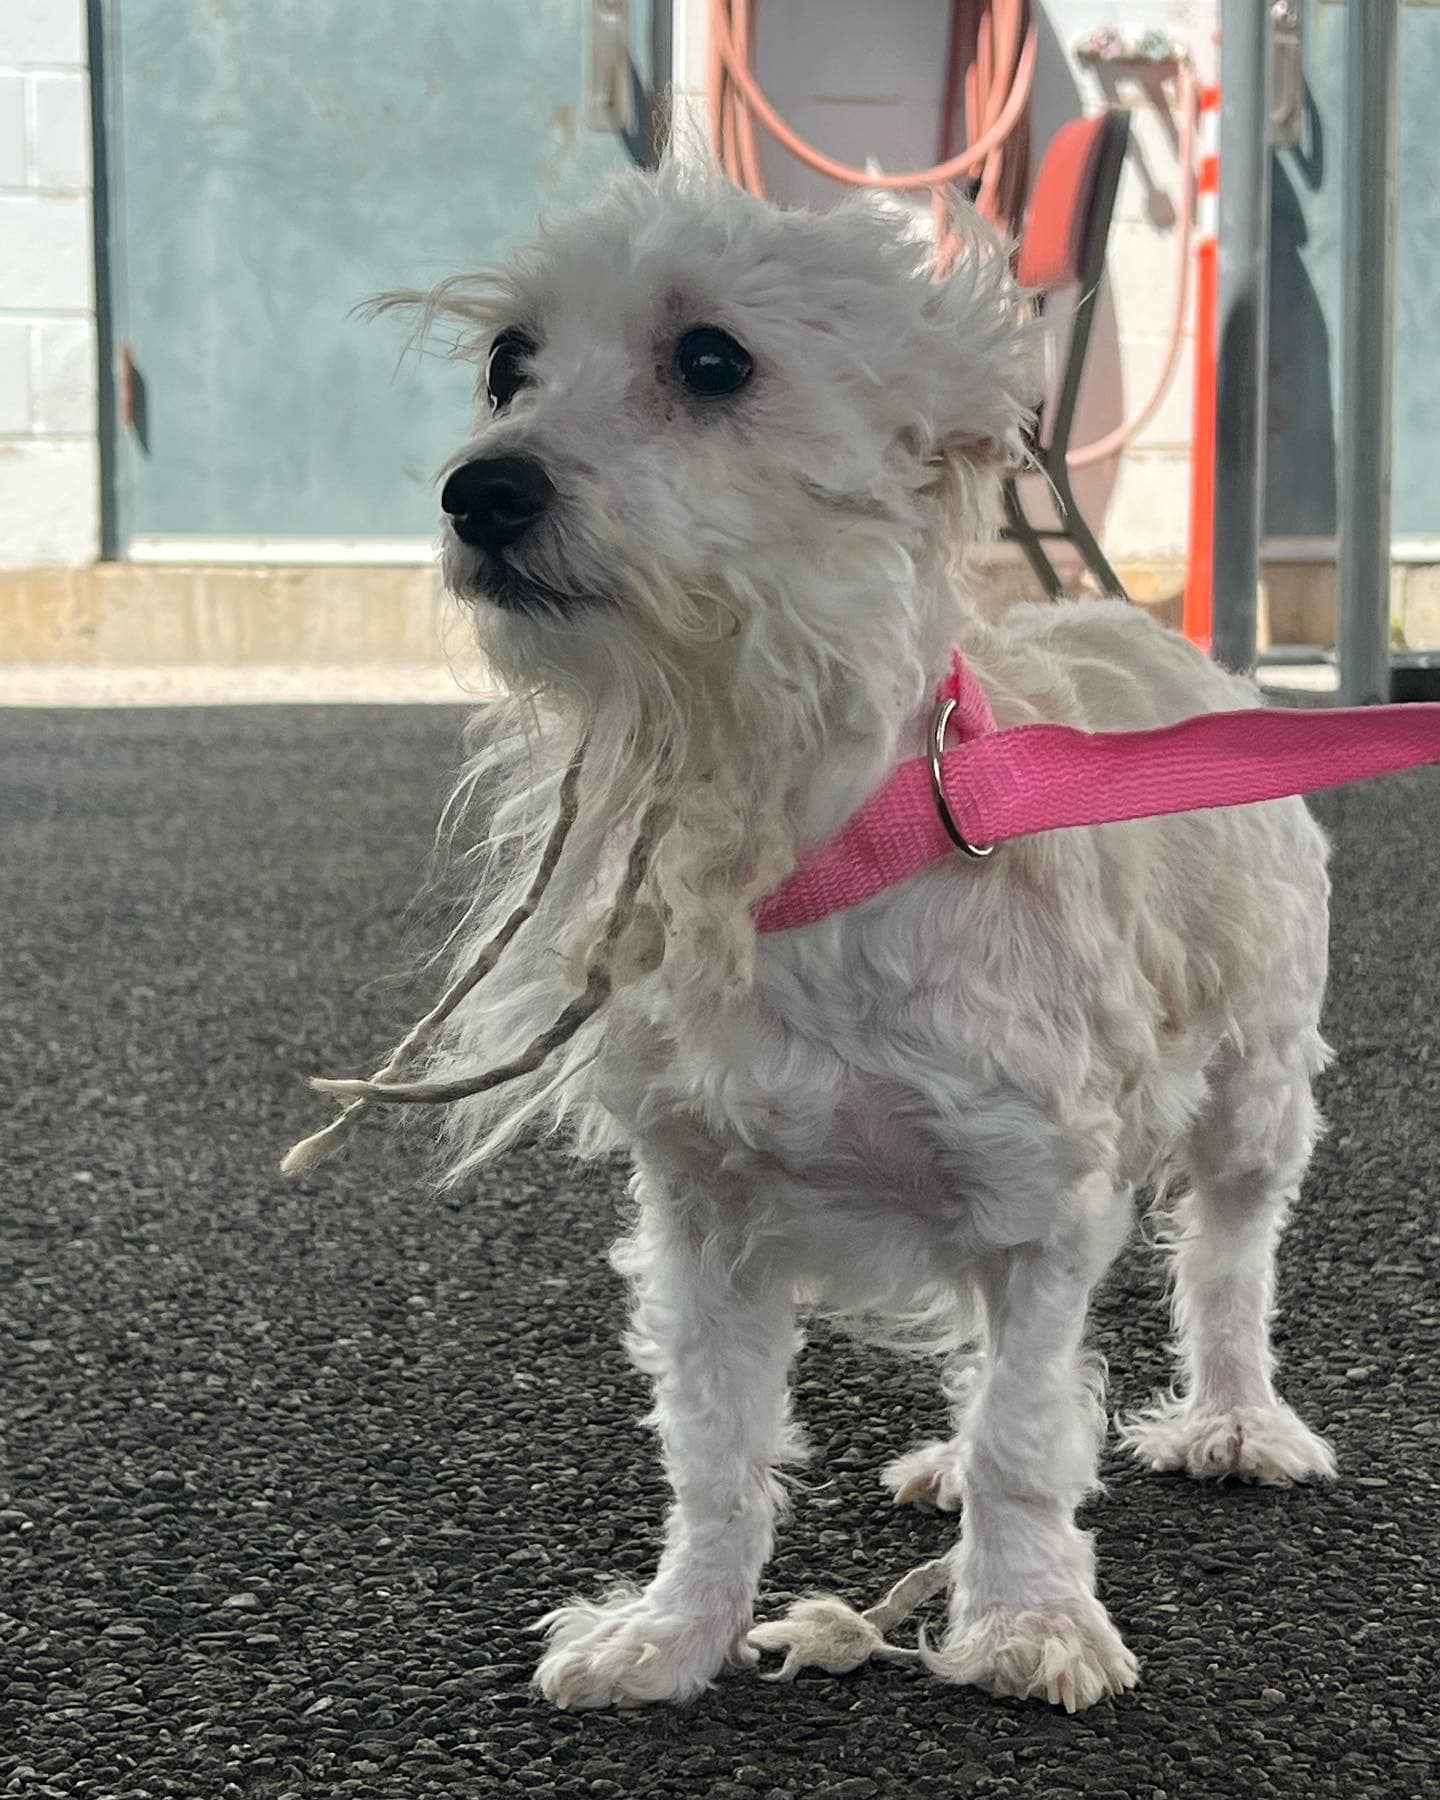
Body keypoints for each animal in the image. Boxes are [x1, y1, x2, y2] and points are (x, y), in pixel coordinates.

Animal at [379, 165, 1324, 1713]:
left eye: (713, 360)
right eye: (508, 364)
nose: (480, 489)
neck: (811, 850)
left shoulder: (1038, 1201)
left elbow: (1026, 1434)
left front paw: (1029, 1618)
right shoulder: (706, 1222)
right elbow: (716, 1453)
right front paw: (677, 1631)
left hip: (1256, 1084)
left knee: (1229, 1259)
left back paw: (1237, 1419)